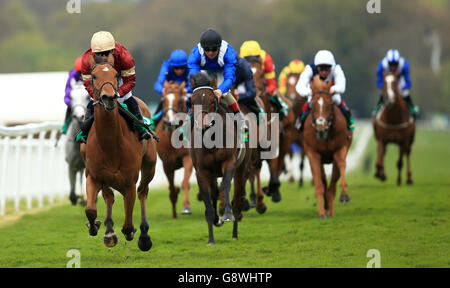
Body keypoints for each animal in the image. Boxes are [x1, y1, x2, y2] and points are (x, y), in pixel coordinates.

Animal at [81, 53, 158, 251]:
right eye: (94, 76)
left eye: (116, 75)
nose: (109, 97)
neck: (110, 145)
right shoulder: (93, 176)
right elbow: (90, 209)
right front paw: (96, 226)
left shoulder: (129, 181)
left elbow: (129, 224)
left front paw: (133, 233)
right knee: (109, 197)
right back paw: (109, 231)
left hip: (150, 166)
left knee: (142, 192)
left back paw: (144, 235)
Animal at [155, 80, 193, 218]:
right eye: (163, 101)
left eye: (180, 102)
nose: (169, 123)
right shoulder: (167, 163)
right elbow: (171, 188)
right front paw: (174, 215)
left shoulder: (187, 157)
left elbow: (185, 182)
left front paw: (186, 207)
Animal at [189, 71, 253, 244]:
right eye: (192, 101)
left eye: (212, 100)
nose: (203, 124)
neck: (211, 139)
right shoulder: (202, 171)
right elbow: (207, 197)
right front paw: (211, 237)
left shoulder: (229, 162)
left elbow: (225, 186)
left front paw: (227, 215)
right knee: (214, 193)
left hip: (241, 170)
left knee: (236, 198)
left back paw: (235, 233)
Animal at [302, 75, 352, 217]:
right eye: (313, 105)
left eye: (329, 104)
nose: (321, 129)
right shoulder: (313, 153)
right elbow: (319, 183)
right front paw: (321, 213)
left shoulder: (340, 148)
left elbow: (341, 165)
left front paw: (344, 195)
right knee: (323, 180)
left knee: (332, 183)